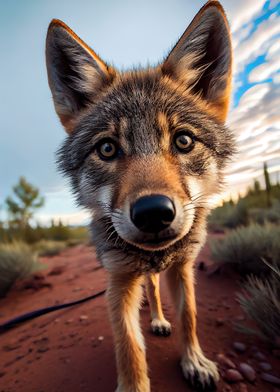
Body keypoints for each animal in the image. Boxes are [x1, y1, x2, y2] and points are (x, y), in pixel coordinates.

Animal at [45, 1, 234, 390]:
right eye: (106, 148)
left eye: (183, 140)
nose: (153, 212)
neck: (154, 256)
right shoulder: (118, 281)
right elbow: (128, 346)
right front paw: (134, 382)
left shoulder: (183, 267)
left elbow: (190, 317)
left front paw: (194, 361)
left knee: (157, 288)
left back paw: (160, 319)